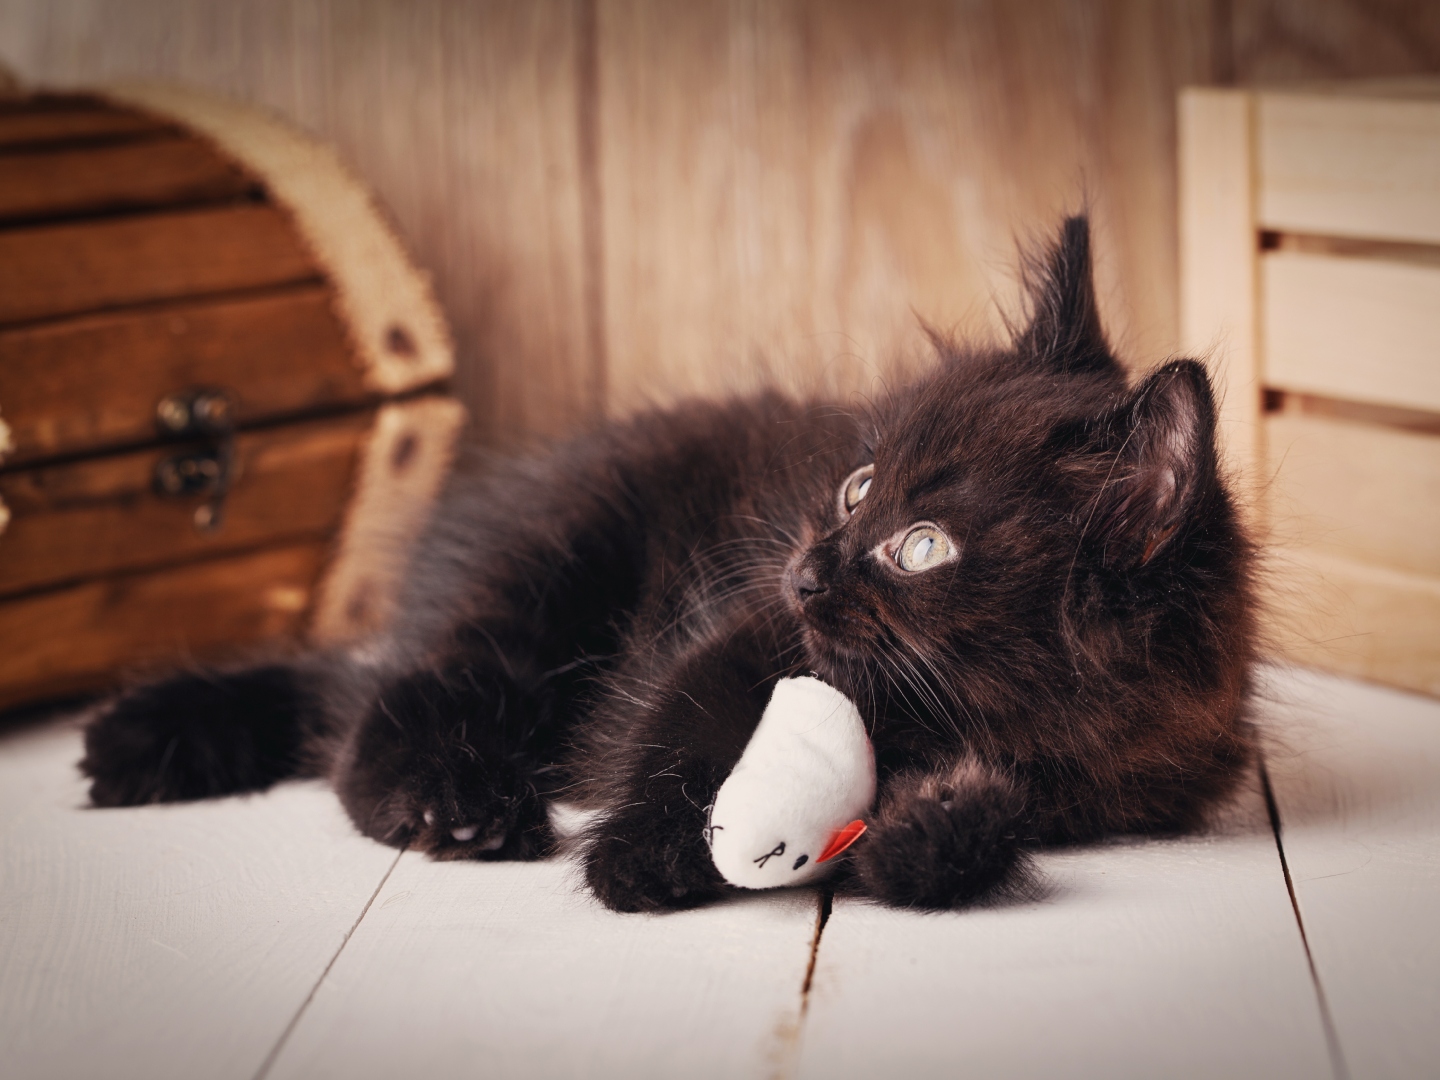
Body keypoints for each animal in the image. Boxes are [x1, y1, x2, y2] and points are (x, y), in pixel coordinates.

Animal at [81, 220, 1249, 915]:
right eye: (858, 486)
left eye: (923, 549)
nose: (809, 570)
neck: (963, 715)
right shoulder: (747, 632)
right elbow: (678, 724)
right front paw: (638, 857)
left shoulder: (1104, 789)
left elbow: (961, 839)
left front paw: (936, 833)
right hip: (545, 569)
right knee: (385, 700)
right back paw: (452, 801)